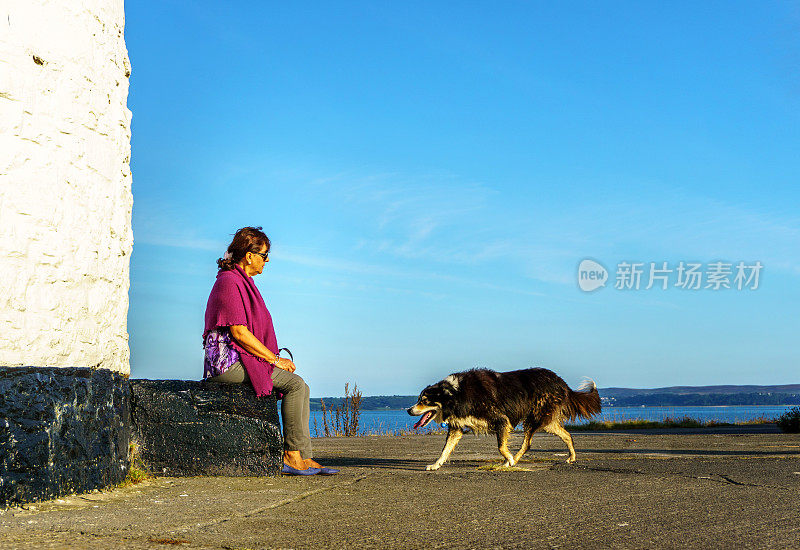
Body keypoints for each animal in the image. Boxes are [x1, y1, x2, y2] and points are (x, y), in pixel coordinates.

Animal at [406, 368, 600, 472]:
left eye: (424, 401)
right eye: (419, 399)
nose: (408, 410)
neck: (456, 394)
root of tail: (562, 382)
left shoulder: (501, 420)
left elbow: (500, 446)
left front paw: (509, 459)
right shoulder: (456, 427)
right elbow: (445, 450)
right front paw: (435, 465)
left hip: (535, 417)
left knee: (527, 444)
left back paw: (513, 461)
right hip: (546, 421)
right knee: (567, 435)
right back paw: (571, 457)